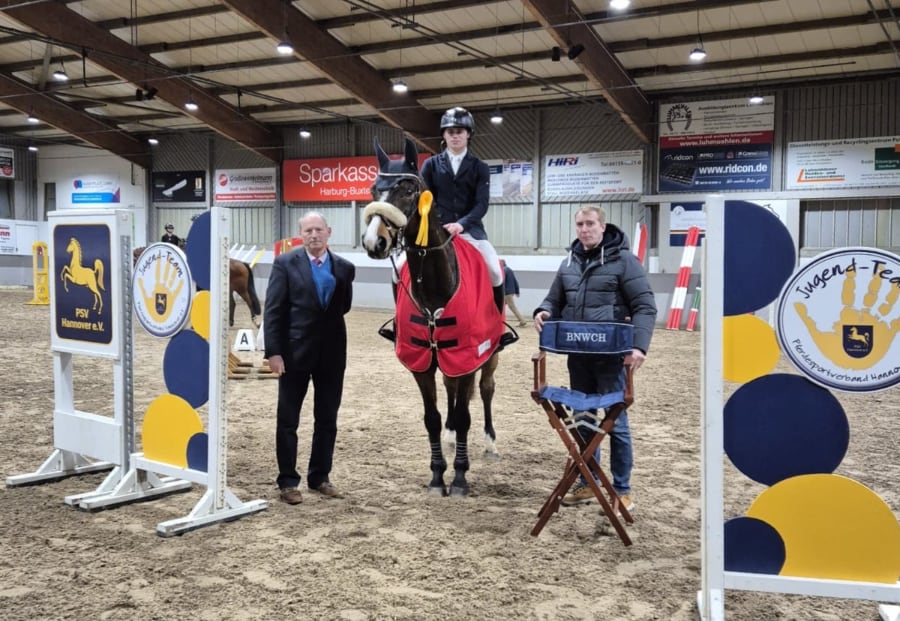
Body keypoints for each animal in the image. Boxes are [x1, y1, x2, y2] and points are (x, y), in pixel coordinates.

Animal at [132, 246, 262, 326]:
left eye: (134, 258)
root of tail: (240, 263)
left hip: (241, 289)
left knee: (248, 302)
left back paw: (255, 321)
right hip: (229, 289)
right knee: (233, 303)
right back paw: (230, 322)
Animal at [360, 136, 502, 494]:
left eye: (410, 189)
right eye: (373, 189)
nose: (374, 241)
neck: (437, 282)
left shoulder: (468, 356)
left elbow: (466, 415)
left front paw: (460, 478)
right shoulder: (421, 363)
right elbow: (432, 418)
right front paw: (438, 475)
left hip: (489, 354)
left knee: (486, 389)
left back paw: (490, 441)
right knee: (451, 390)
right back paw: (451, 438)